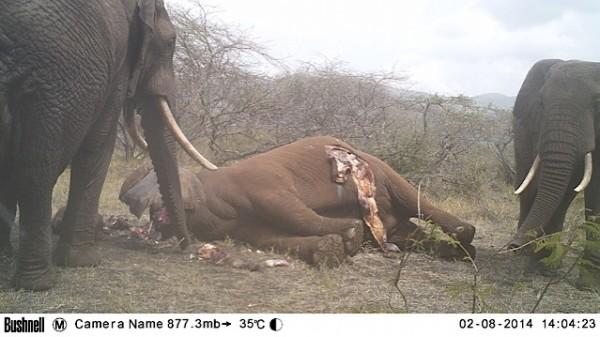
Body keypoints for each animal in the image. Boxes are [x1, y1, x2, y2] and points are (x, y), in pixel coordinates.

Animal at [0, 0, 216, 288]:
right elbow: (100, 141)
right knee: (37, 173)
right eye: (170, 42)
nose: (187, 248)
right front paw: (83, 261)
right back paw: (39, 282)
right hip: (54, 86)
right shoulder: (118, 63)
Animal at [508, 58, 600, 288]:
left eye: (597, 104)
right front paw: (542, 265)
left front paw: (588, 285)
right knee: (527, 186)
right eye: (541, 103)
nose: (512, 245)